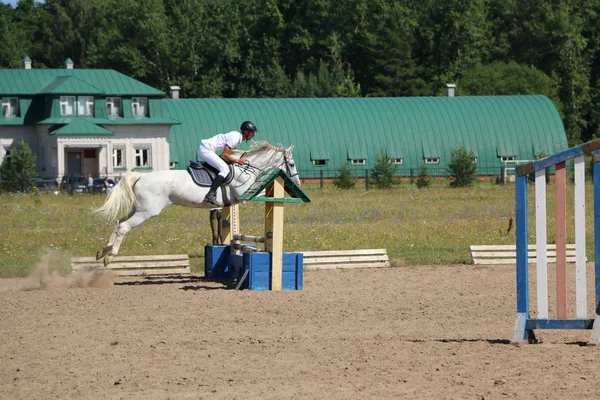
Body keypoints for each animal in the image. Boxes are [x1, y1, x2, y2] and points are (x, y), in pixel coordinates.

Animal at [94, 141, 300, 266]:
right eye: (291, 164)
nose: (297, 182)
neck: (247, 168)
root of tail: (141, 176)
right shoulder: (243, 195)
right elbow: (263, 192)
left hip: (137, 209)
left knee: (118, 223)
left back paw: (103, 251)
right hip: (146, 211)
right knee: (124, 227)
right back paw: (110, 256)